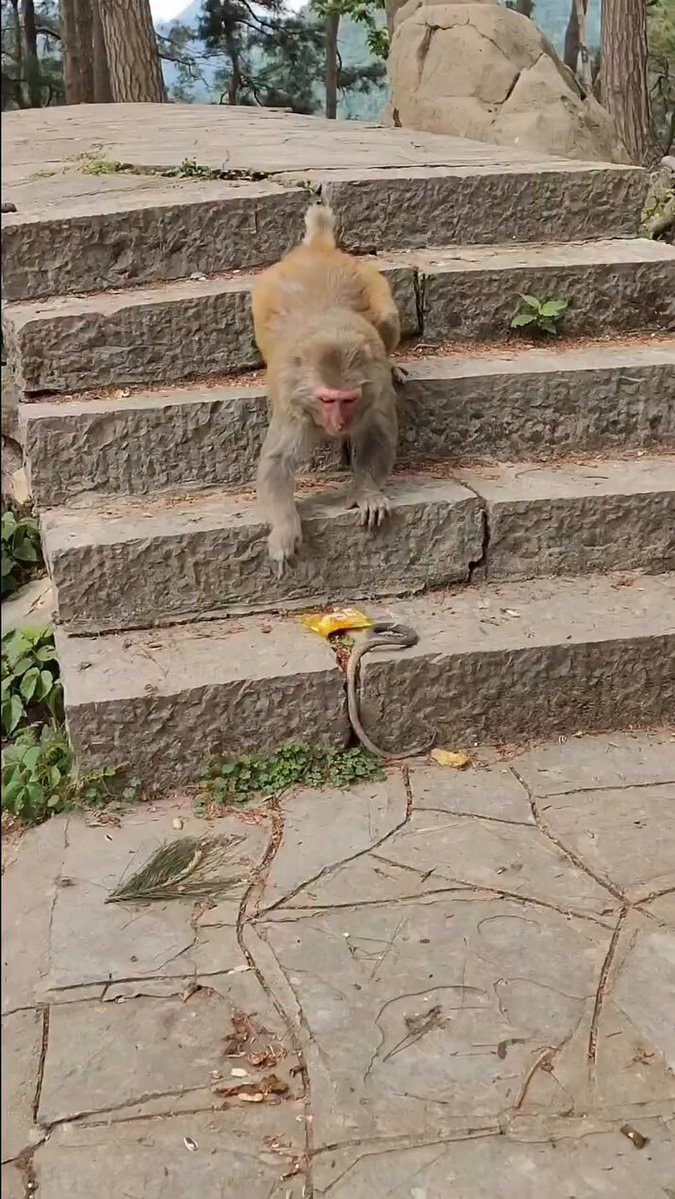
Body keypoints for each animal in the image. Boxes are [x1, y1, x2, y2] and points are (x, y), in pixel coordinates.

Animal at [251, 203, 401, 571]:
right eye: (326, 400)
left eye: (347, 400)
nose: (338, 424)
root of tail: (317, 251)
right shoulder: (294, 405)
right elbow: (276, 462)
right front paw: (284, 530)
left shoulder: (376, 391)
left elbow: (378, 438)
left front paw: (366, 494)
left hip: (373, 284)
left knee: (388, 318)